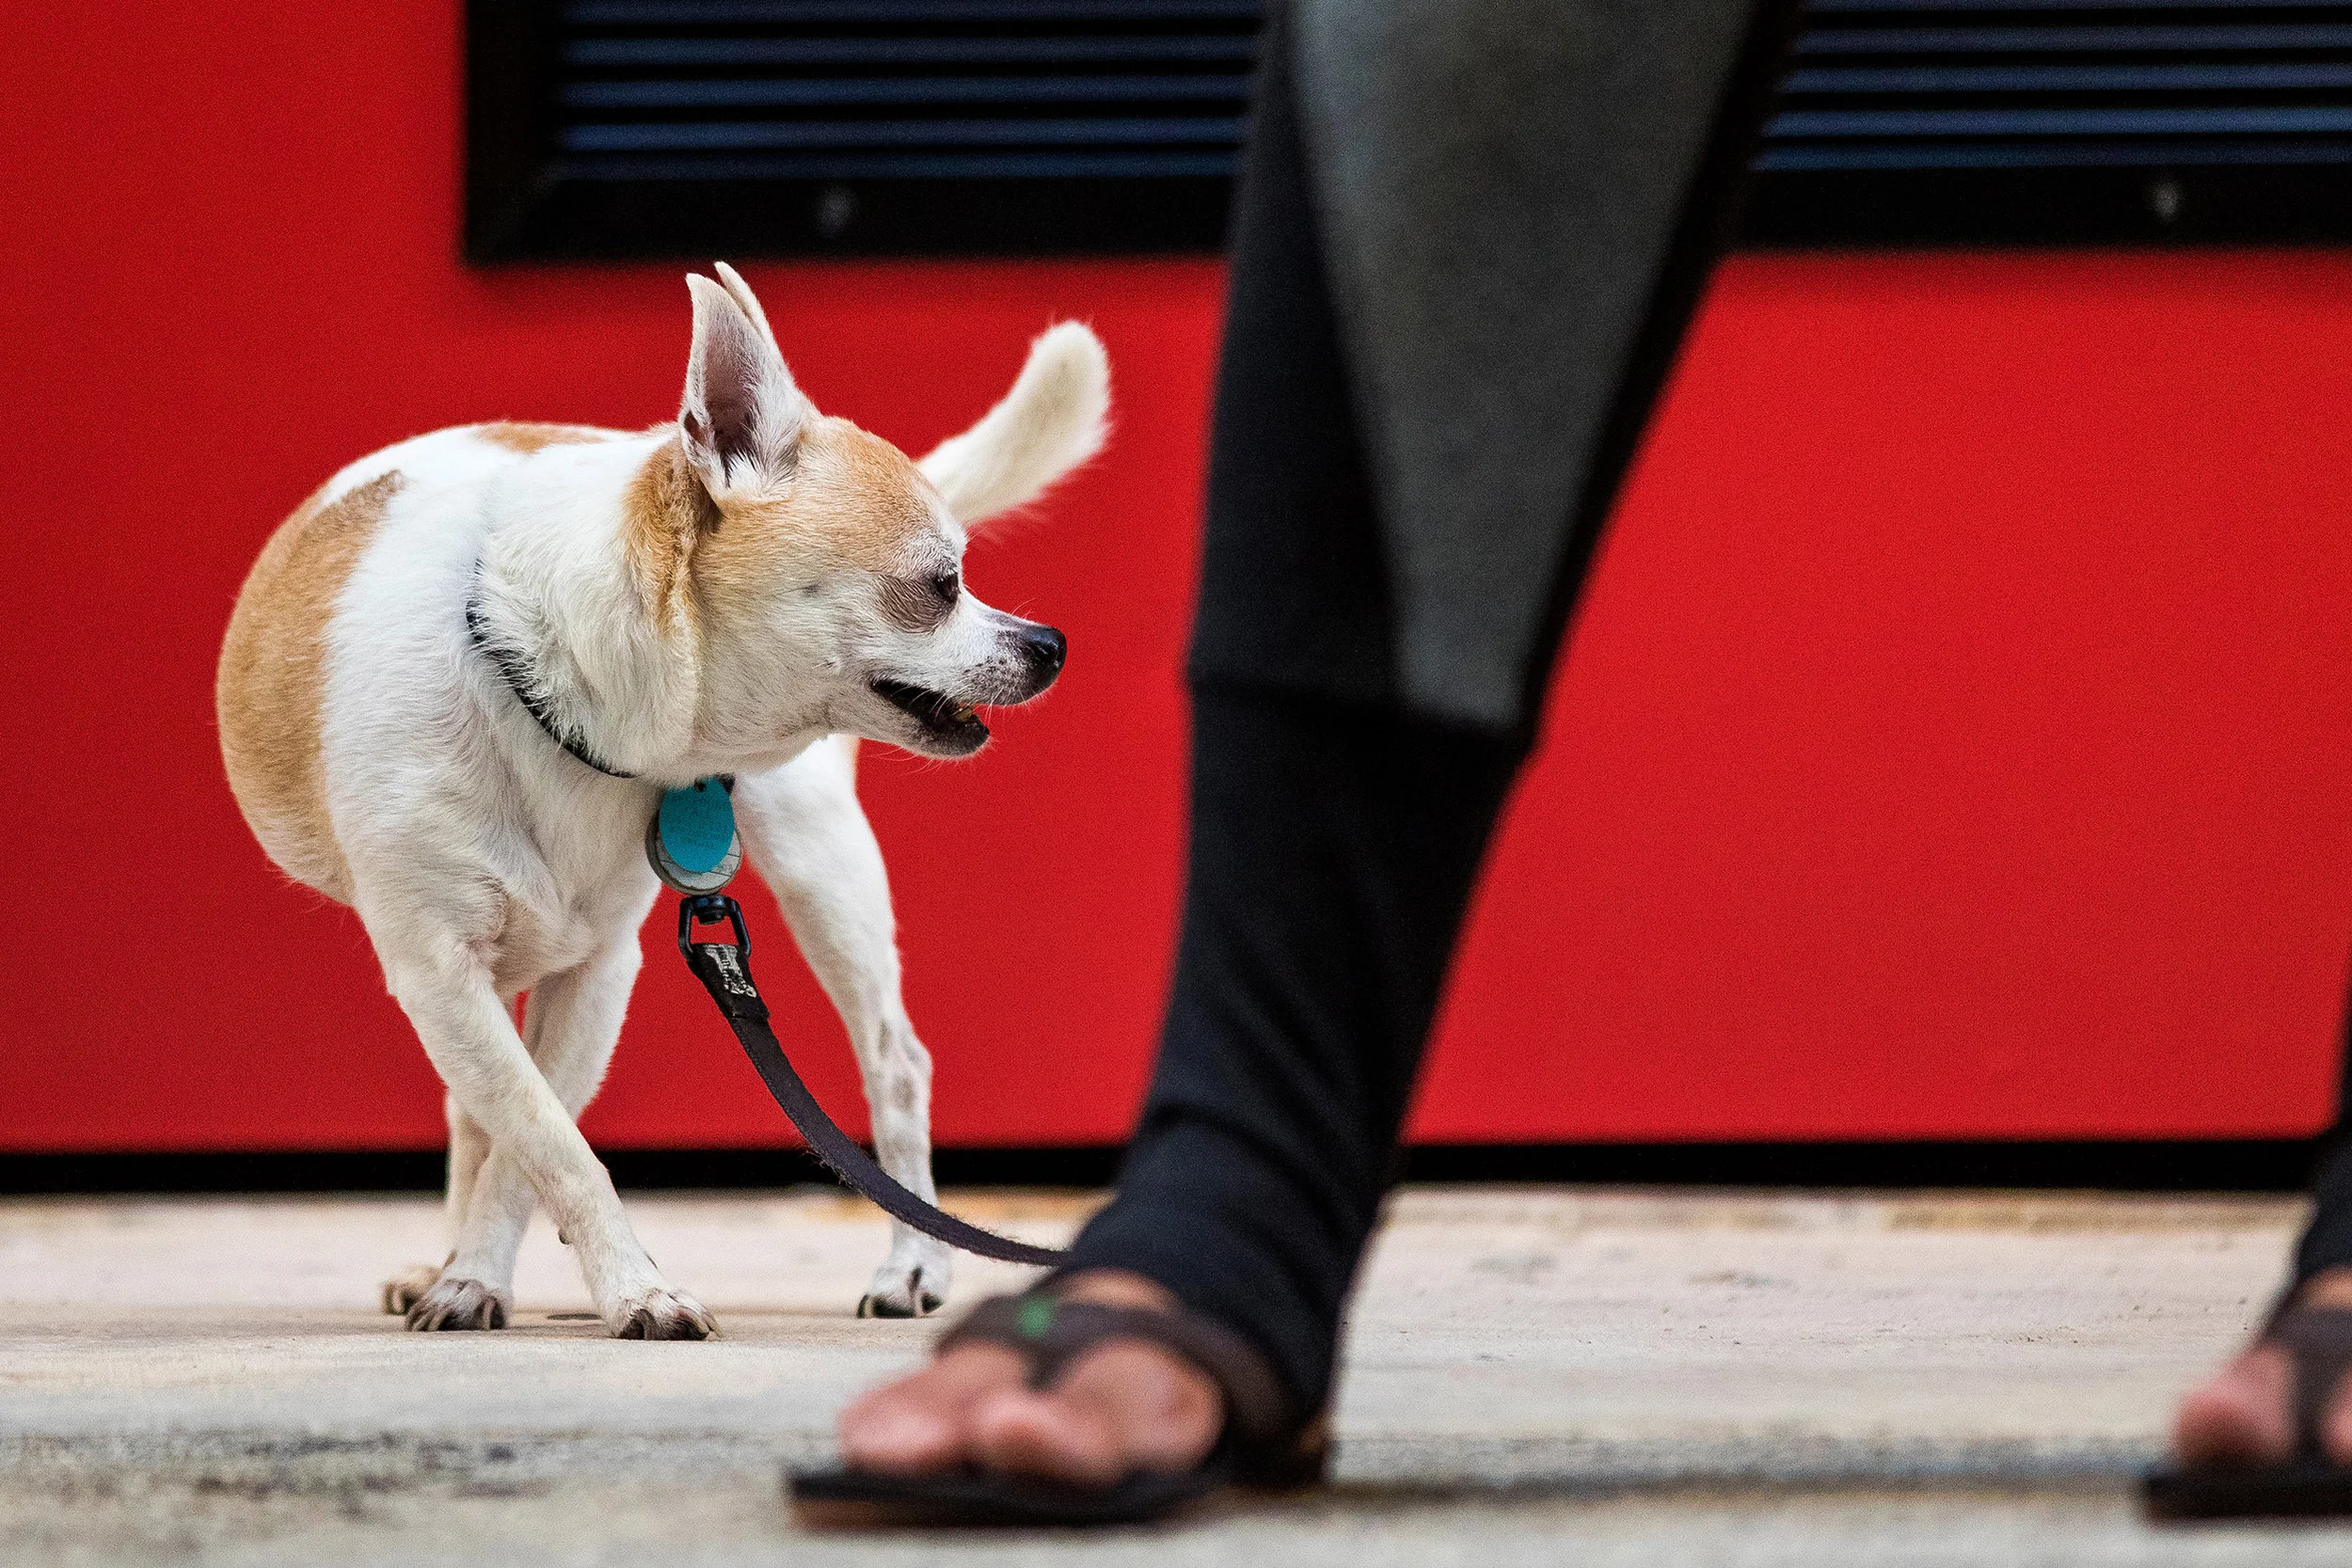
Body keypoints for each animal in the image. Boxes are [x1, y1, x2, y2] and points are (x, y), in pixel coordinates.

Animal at [216, 266, 1105, 1335]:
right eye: (941, 585)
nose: (1049, 642)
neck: (550, 696)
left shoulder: (597, 971)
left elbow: (535, 1142)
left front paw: (567, 1279)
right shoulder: (440, 971)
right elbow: (538, 1133)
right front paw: (497, 1275)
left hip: (819, 859)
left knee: (896, 1061)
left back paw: (911, 1267)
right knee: (473, 1110)